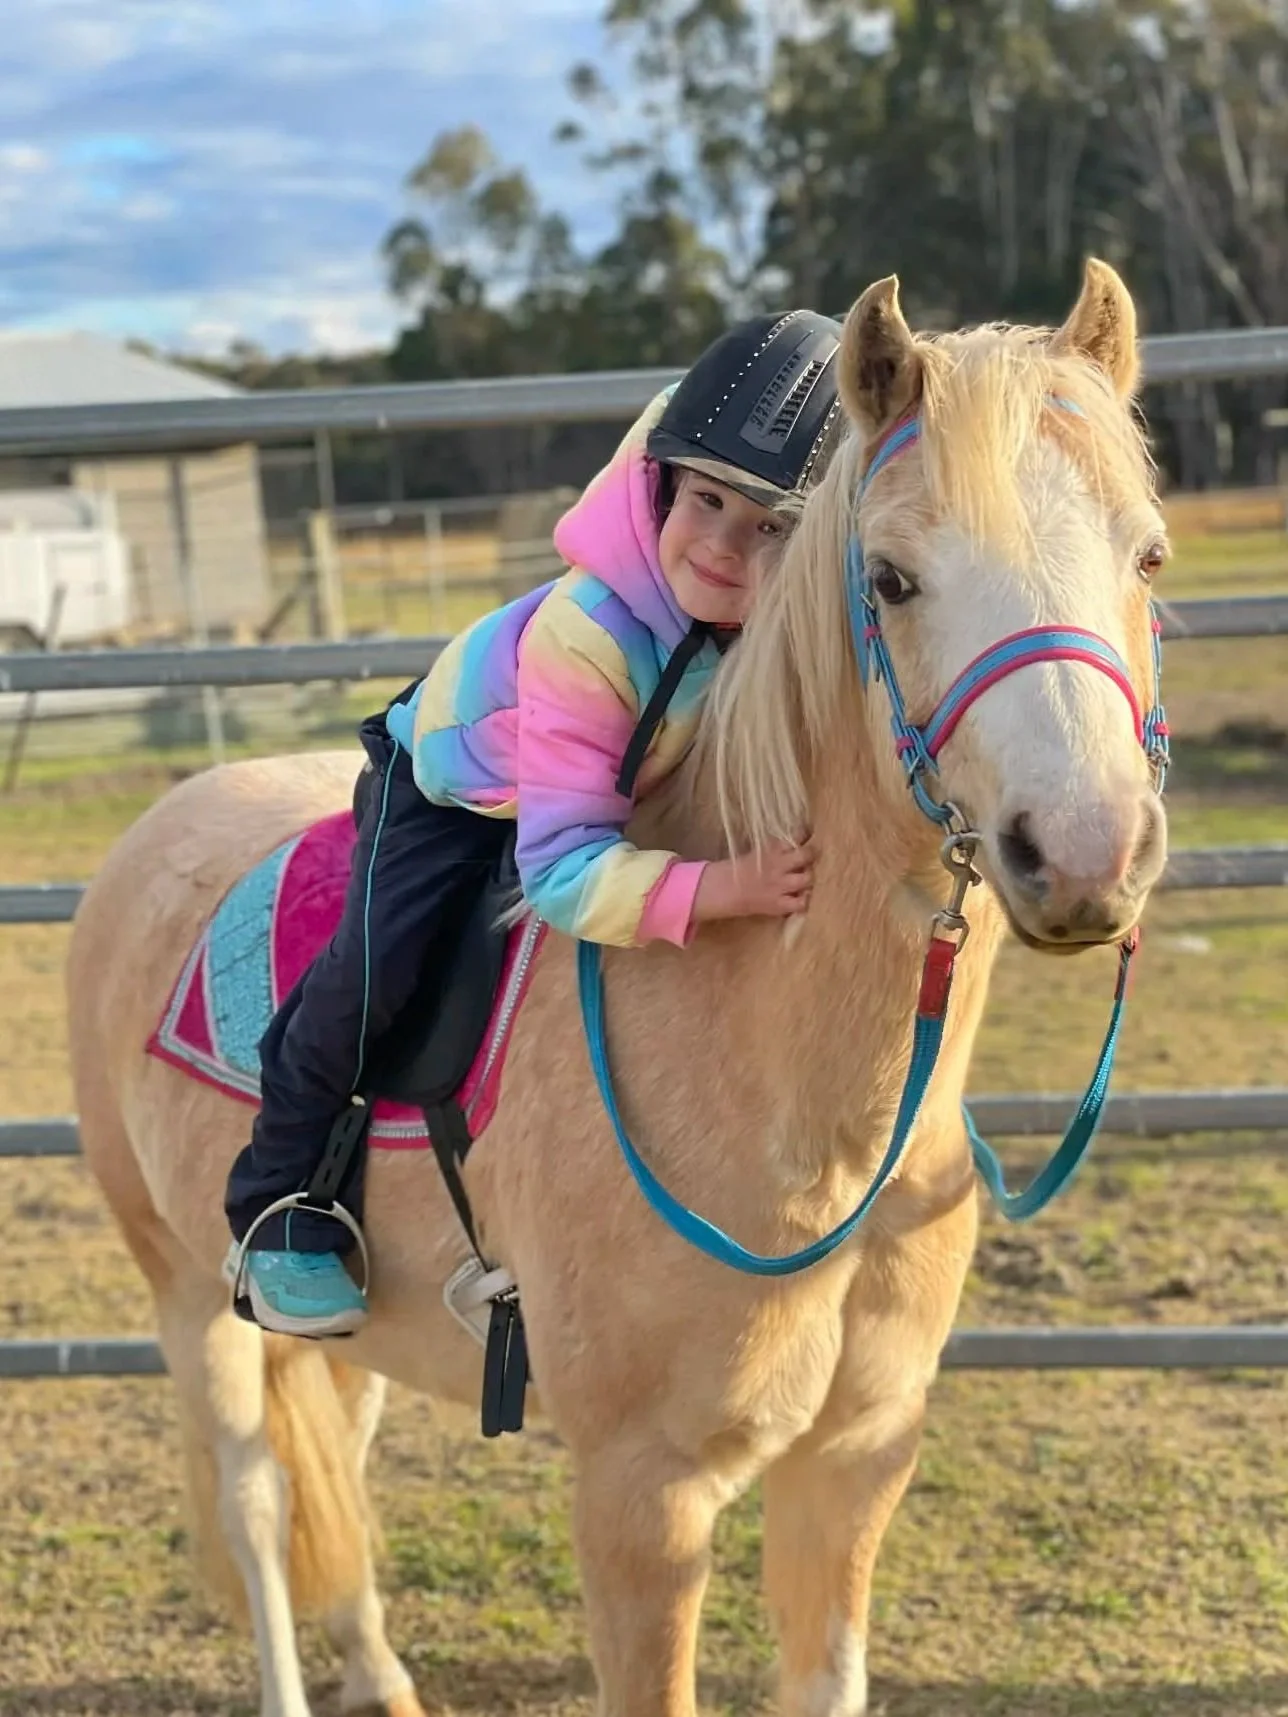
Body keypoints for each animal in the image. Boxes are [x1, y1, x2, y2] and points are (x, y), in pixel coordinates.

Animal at [67, 258, 1169, 1717]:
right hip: (189, 1291)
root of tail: (155, 830)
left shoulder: (856, 1460)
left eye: (1147, 555)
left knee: (336, 1459)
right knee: (254, 1498)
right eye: (891, 577)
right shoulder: (643, 1497)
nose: (1086, 851)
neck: (799, 1104)